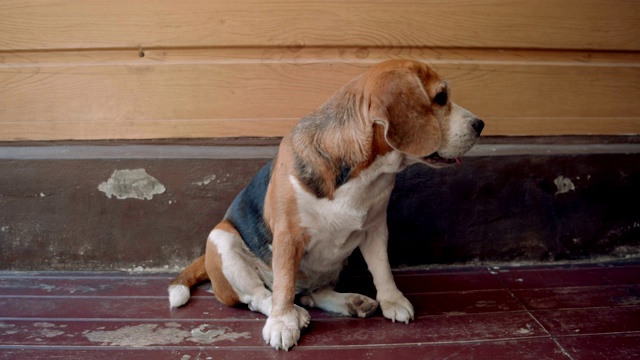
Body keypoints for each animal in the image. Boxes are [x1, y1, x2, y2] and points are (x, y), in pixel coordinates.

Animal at [168, 59, 482, 348]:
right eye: (440, 97)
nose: (480, 124)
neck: (365, 173)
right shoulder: (288, 235)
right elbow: (283, 284)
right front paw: (282, 323)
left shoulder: (376, 228)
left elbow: (382, 269)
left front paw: (392, 301)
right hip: (223, 240)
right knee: (259, 296)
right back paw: (293, 313)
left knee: (313, 293)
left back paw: (350, 302)